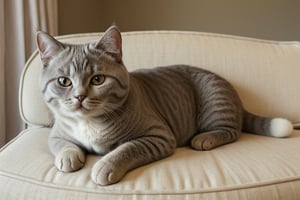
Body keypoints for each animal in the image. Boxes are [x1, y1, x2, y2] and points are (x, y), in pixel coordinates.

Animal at [36, 25, 292, 185]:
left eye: (97, 79)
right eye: (64, 81)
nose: (79, 97)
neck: (89, 123)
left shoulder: (158, 136)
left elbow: (127, 149)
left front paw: (105, 166)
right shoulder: (57, 134)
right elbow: (62, 145)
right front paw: (68, 157)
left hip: (214, 104)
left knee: (231, 131)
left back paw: (205, 138)